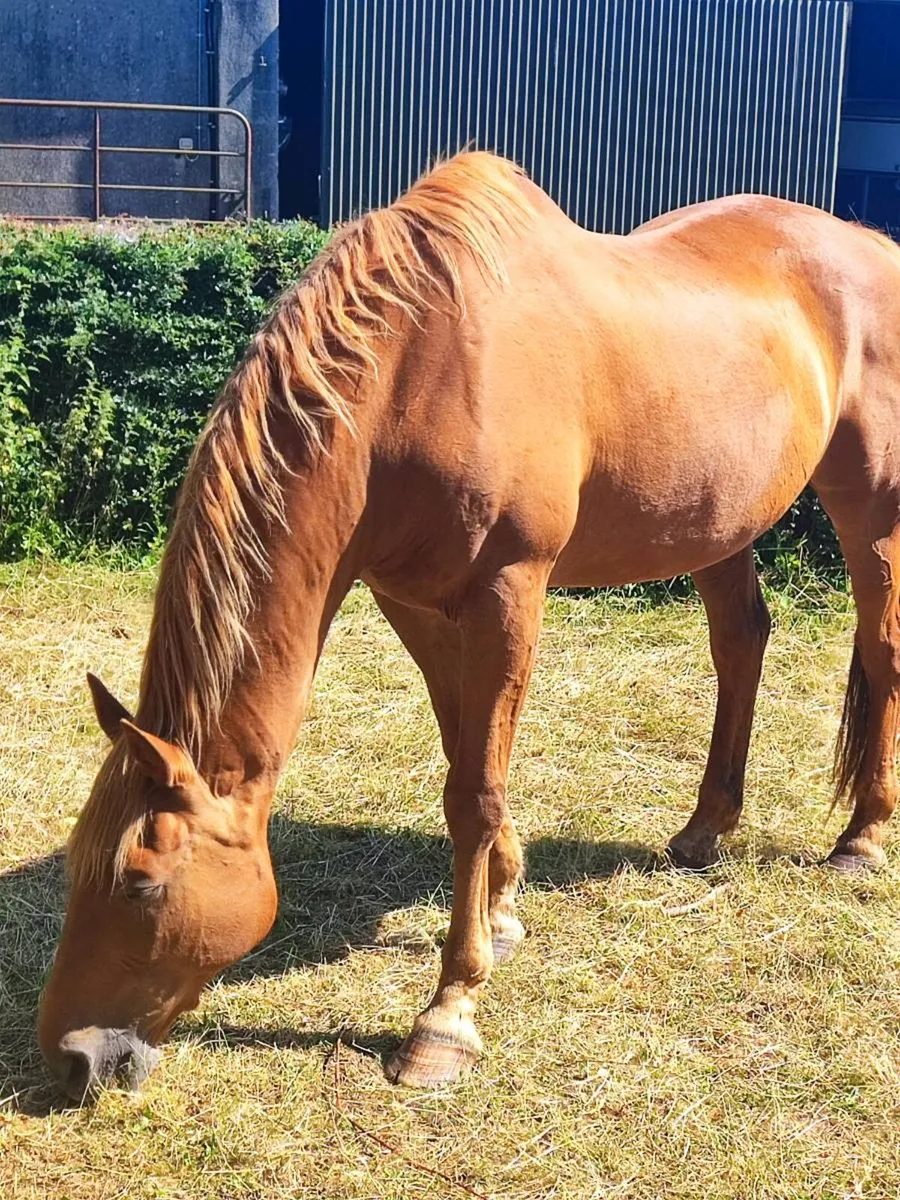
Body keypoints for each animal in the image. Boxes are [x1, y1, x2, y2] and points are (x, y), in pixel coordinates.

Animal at [37, 151, 900, 1100]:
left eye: (141, 885)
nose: (69, 1058)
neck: (419, 374)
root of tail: (872, 244)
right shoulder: (413, 604)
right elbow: (468, 761)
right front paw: (506, 906)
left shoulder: (507, 593)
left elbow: (475, 793)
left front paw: (447, 1016)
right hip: (719, 519)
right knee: (740, 643)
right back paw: (705, 829)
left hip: (869, 506)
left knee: (881, 650)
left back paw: (861, 839)